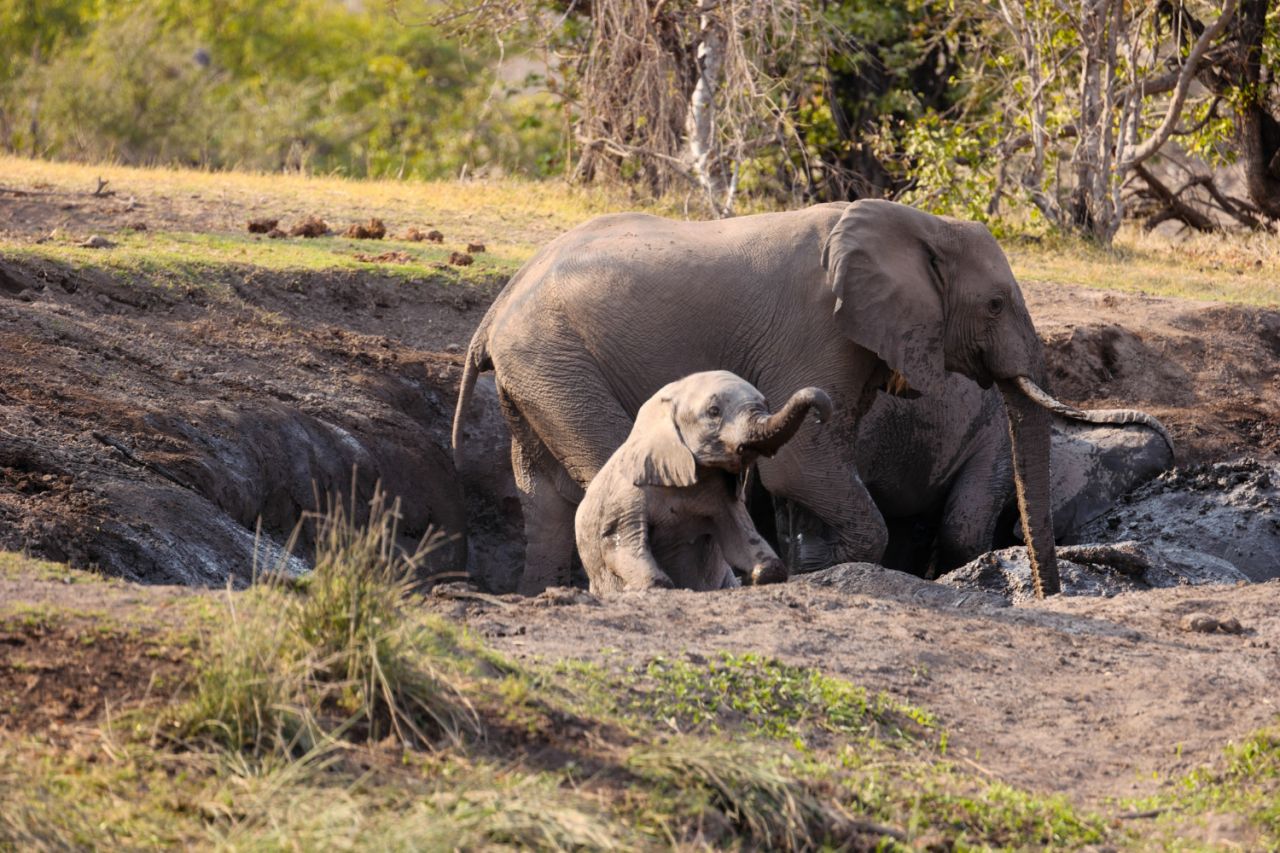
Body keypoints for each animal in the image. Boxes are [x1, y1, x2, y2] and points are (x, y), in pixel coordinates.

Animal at [576, 368, 834, 594]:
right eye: (713, 411)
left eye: (767, 404)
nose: (821, 417)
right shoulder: (628, 496)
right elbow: (621, 544)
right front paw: (647, 586)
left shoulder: (722, 494)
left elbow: (738, 538)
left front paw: (759, 576)